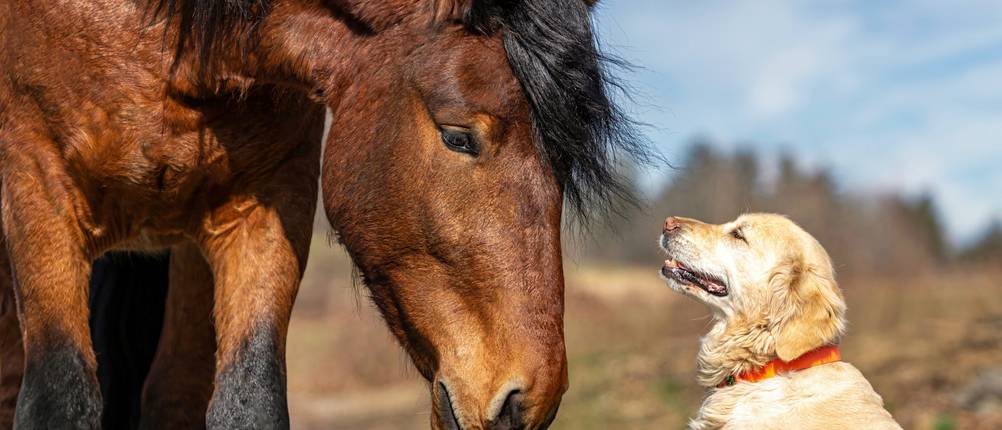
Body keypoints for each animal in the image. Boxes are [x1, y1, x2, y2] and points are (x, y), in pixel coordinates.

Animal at [0, 0, 650, 428]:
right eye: (458, 137)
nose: (527, 400)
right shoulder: (37, 190)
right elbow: (59, 399)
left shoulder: (264, 206)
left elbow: (245, 403)